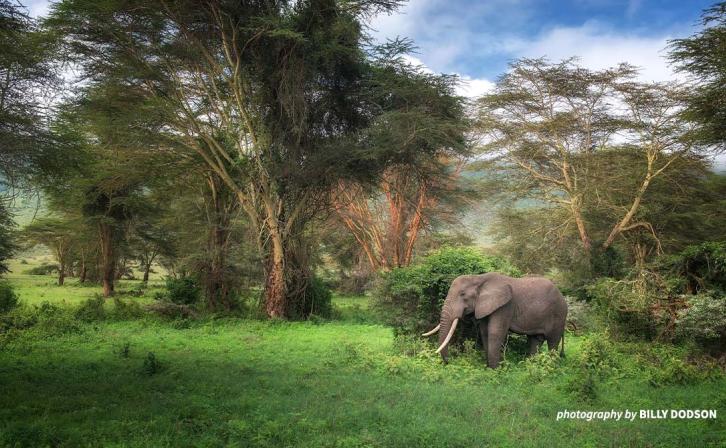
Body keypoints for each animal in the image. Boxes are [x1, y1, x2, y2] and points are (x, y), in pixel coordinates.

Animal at [420, 272, 568, 370]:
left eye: (462, 294)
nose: (448, 362)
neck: (479, 278)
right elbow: (485, 333)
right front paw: (490, 368)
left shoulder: (505, 306)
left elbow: (495, 333)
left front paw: (495, 370)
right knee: (535, 340)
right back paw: (532, 366)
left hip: (559, 315)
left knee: (553, 342)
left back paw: (550, 368)